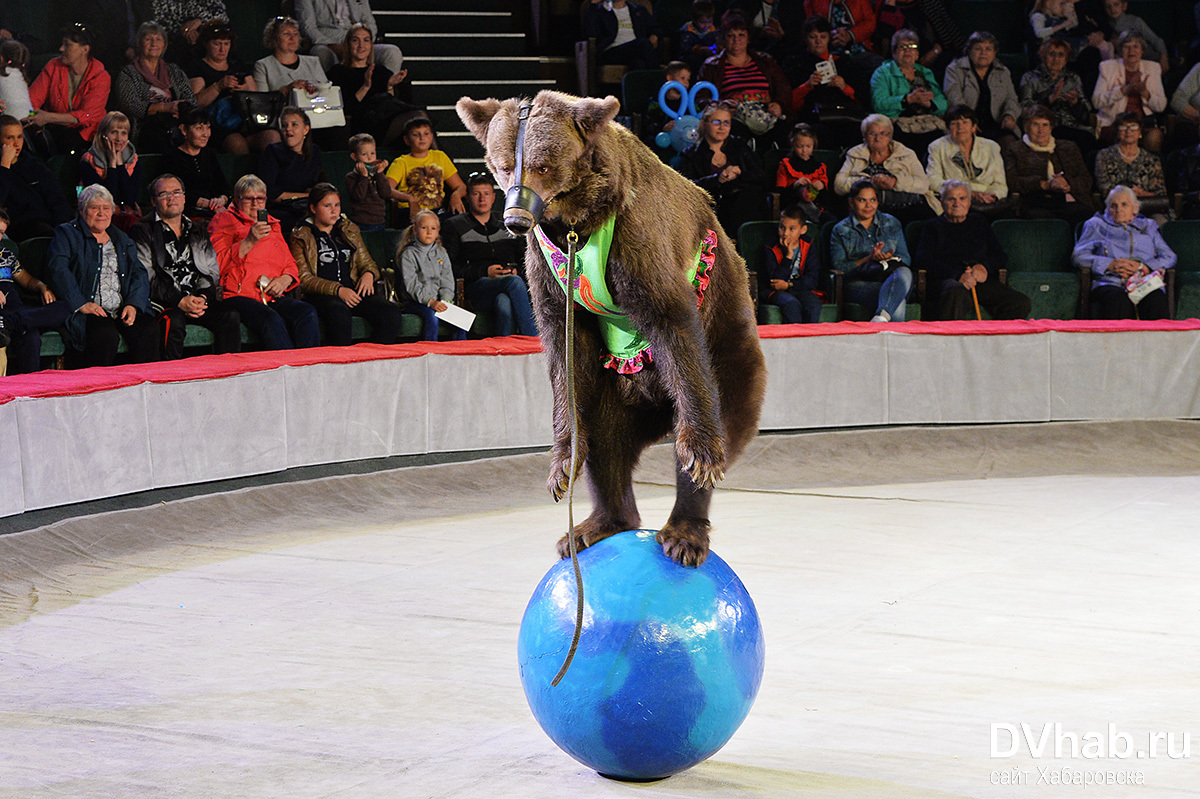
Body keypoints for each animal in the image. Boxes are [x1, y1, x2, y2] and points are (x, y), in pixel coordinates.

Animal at [453, 89, 763, 566]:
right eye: (503, 164)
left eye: (543, 165)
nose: (516, 219)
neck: (576, 221)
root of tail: (653, 412)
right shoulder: (547, 268)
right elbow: (561, 350)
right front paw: (562, 465)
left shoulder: (635, 236)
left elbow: (669, 316)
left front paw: (702, 455)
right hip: (609, 388)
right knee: (605, 443)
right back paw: (596, 525)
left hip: (729, 345)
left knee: (723, 405)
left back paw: (684, 531)